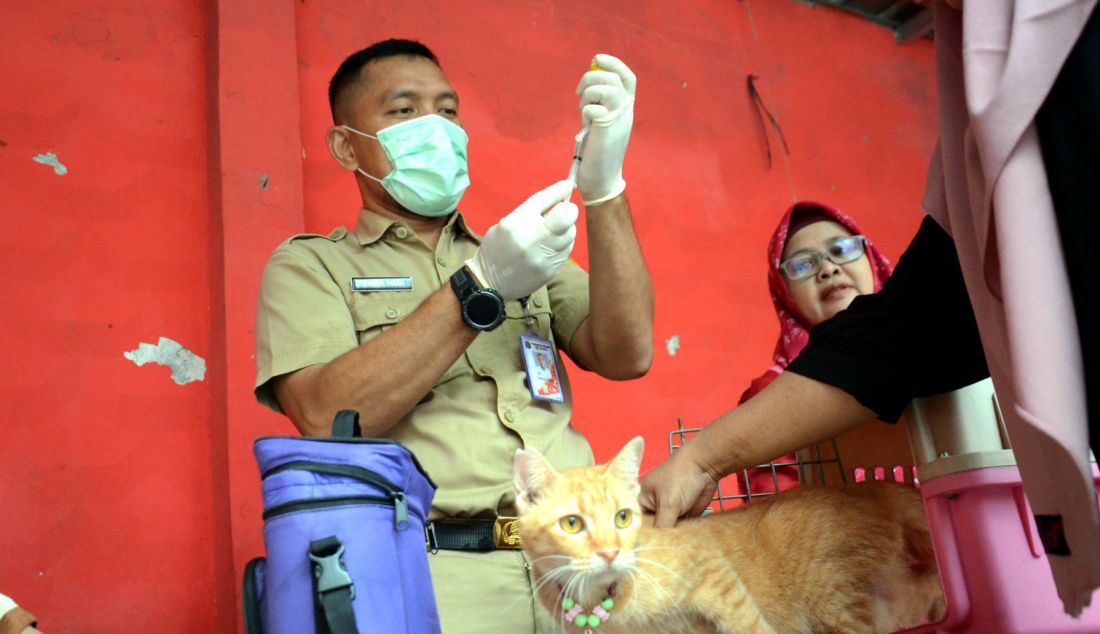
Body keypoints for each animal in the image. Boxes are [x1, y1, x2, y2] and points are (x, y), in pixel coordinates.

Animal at [514, 435, 946, 634]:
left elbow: (748, 624)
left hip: (830, 598)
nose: (610, 552)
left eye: (623, 518)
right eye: (572, 524)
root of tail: (875, 488)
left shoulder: (713, 570)